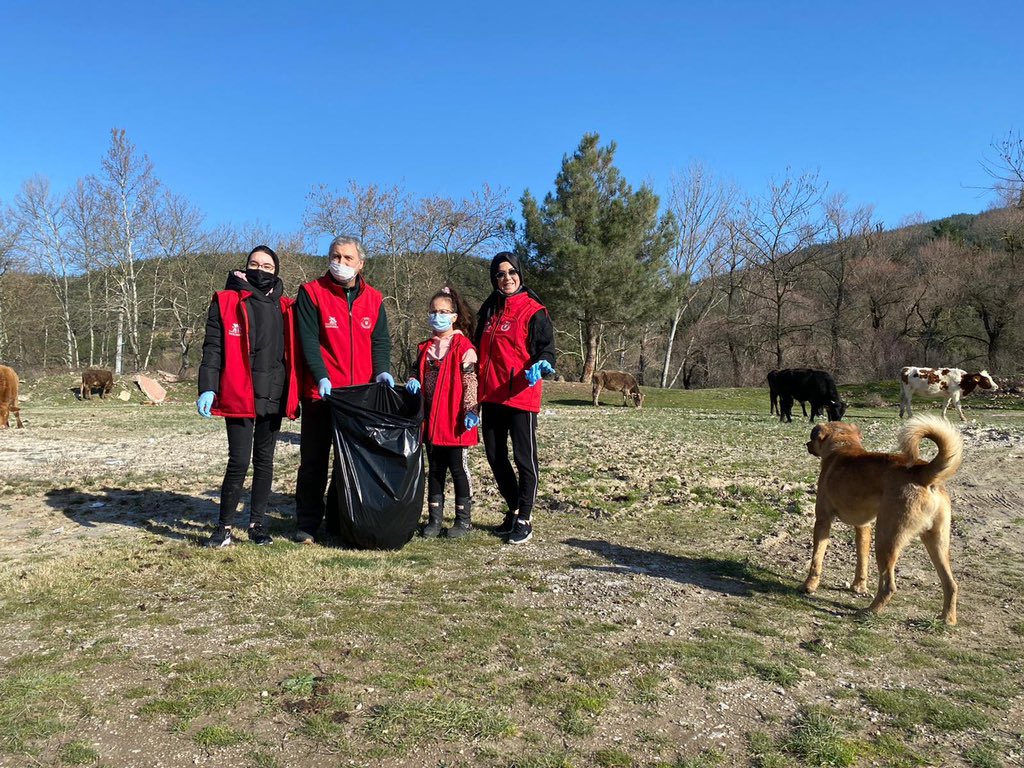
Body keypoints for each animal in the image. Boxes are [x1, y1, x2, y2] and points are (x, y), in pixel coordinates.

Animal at [802, 415, 962, 626]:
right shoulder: (863, 527)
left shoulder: (822, 521)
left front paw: (809, 586)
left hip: (886, 539)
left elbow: (816, 559)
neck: (843, 445)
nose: (806, 444)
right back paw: (947, 618)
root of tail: (923, 473)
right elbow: (862, 561)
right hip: (936, 542)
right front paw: (858, 587)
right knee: (951, 584)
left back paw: (869, 611)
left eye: (813, 436)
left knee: (888, 586)